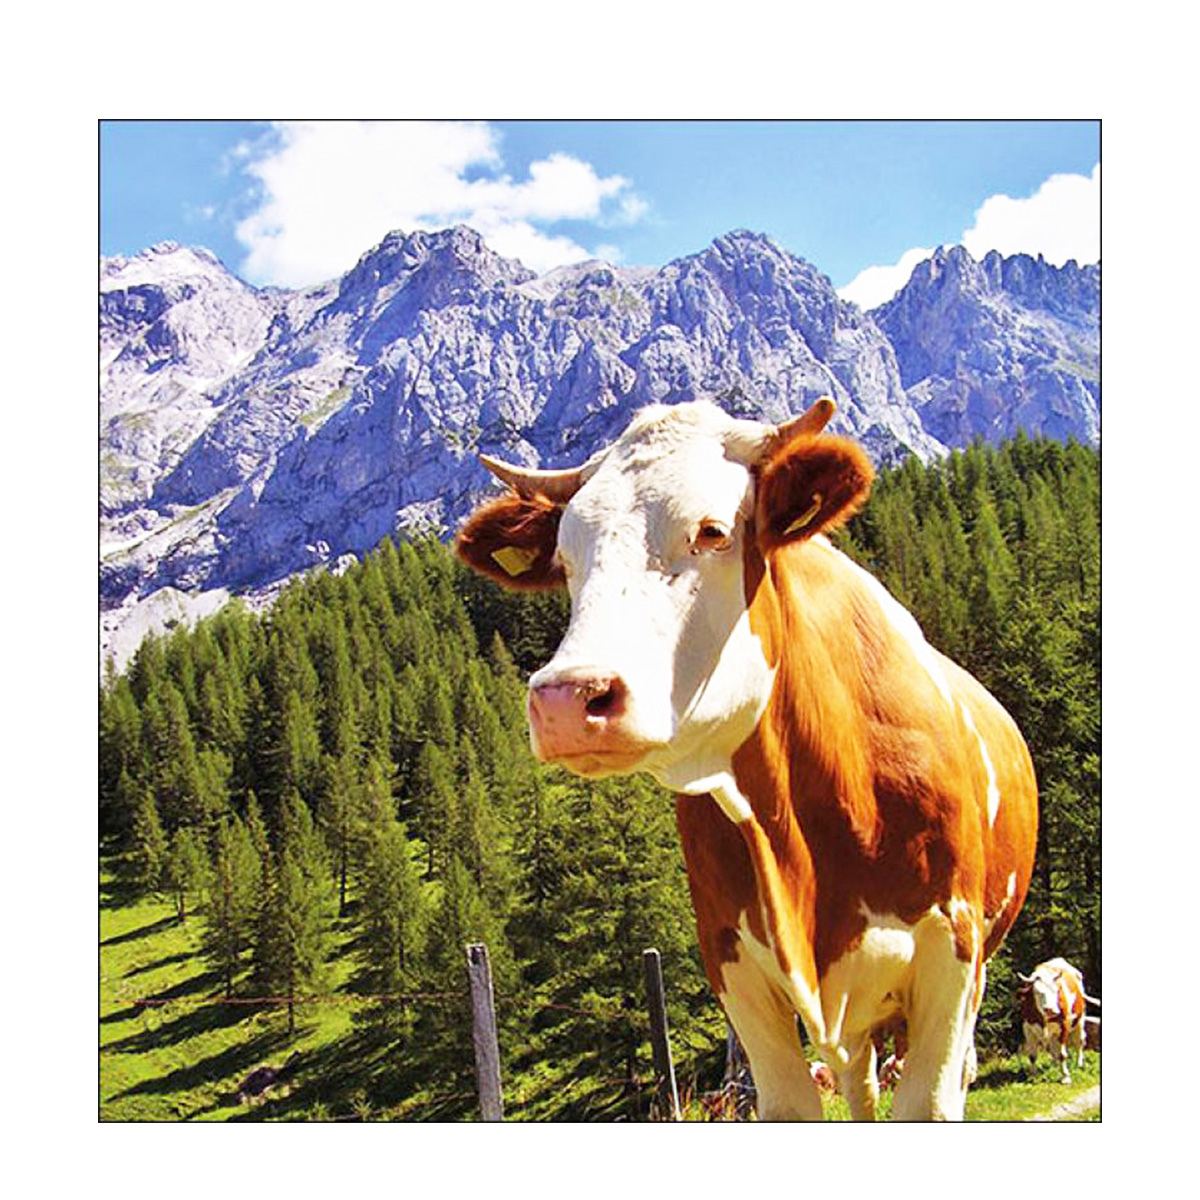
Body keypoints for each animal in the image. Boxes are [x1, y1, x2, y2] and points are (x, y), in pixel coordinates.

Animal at [456, 397, 1039, 1120]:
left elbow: (930, 1099)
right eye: (565, 559)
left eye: (711, 531)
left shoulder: (951, 951)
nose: (566, 697)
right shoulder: (732, 963)